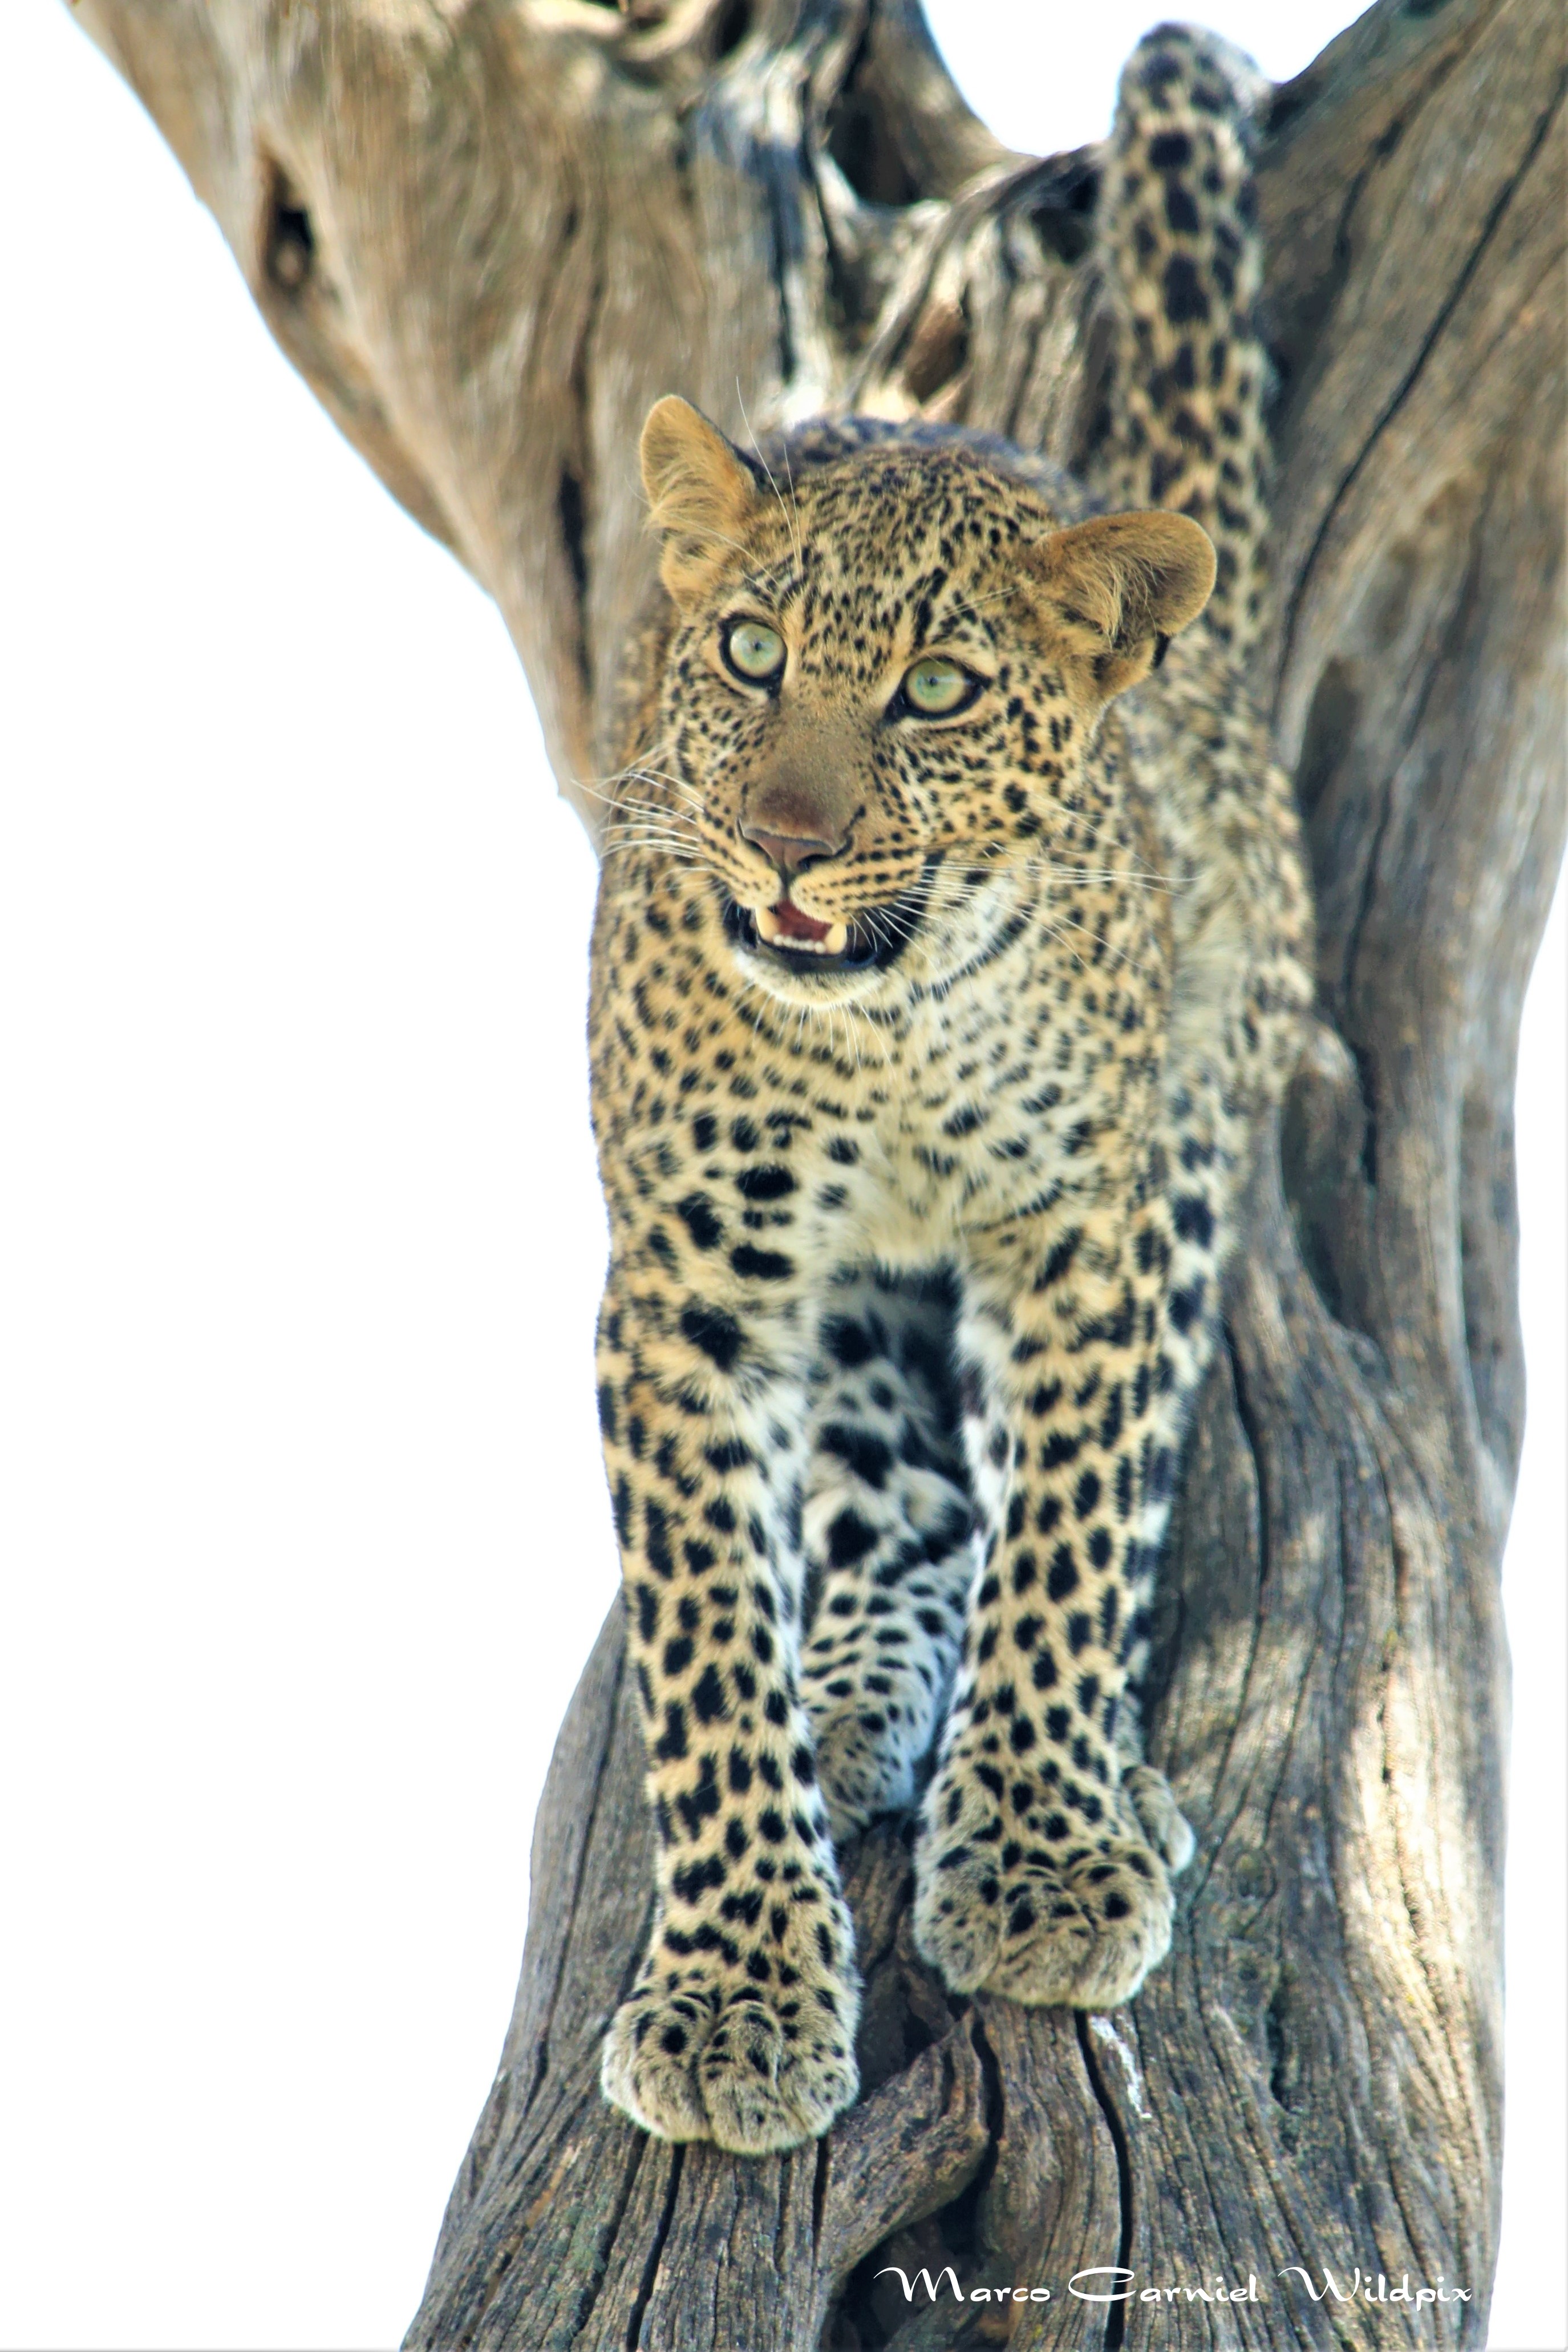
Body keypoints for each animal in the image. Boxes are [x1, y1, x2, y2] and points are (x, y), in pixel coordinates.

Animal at [583, 23, 1307, 2154]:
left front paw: (1047, 1848)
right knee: (894, 1498)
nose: (781, 844)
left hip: (1200, 1115)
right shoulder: (684, 1294)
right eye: (746, 652)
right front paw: (736, 1990)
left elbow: (1067, 1539)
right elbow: (700, 1664)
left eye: (933, 692)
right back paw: (849, 1691)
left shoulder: (1091, 1229)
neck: (885, 1030)